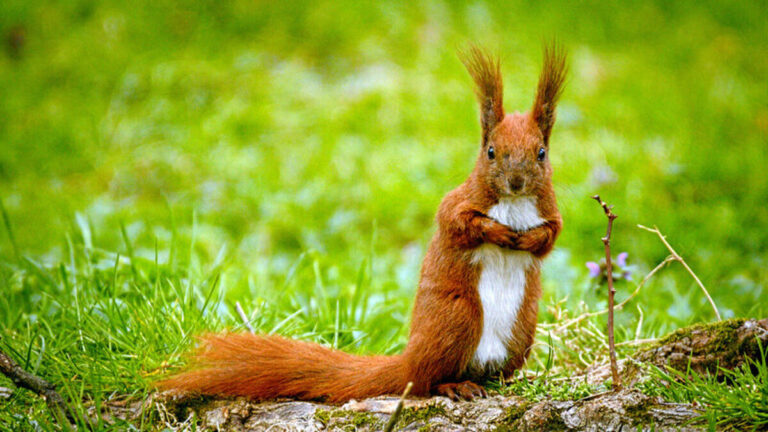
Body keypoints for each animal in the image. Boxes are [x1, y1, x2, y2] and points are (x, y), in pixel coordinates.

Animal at [158, 43, 567, 403]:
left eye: (541, 153)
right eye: (491, 152)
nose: (516, 183)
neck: (513, 203)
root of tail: (409, 363)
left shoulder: (550, 211)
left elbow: (550, 235)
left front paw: (527, 240)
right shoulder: (460, 201)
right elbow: (458, 223)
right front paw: (499, 232)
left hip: (522, 330)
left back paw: (506, 382)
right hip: (458, 316)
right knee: (428, 382)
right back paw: (454, 386)